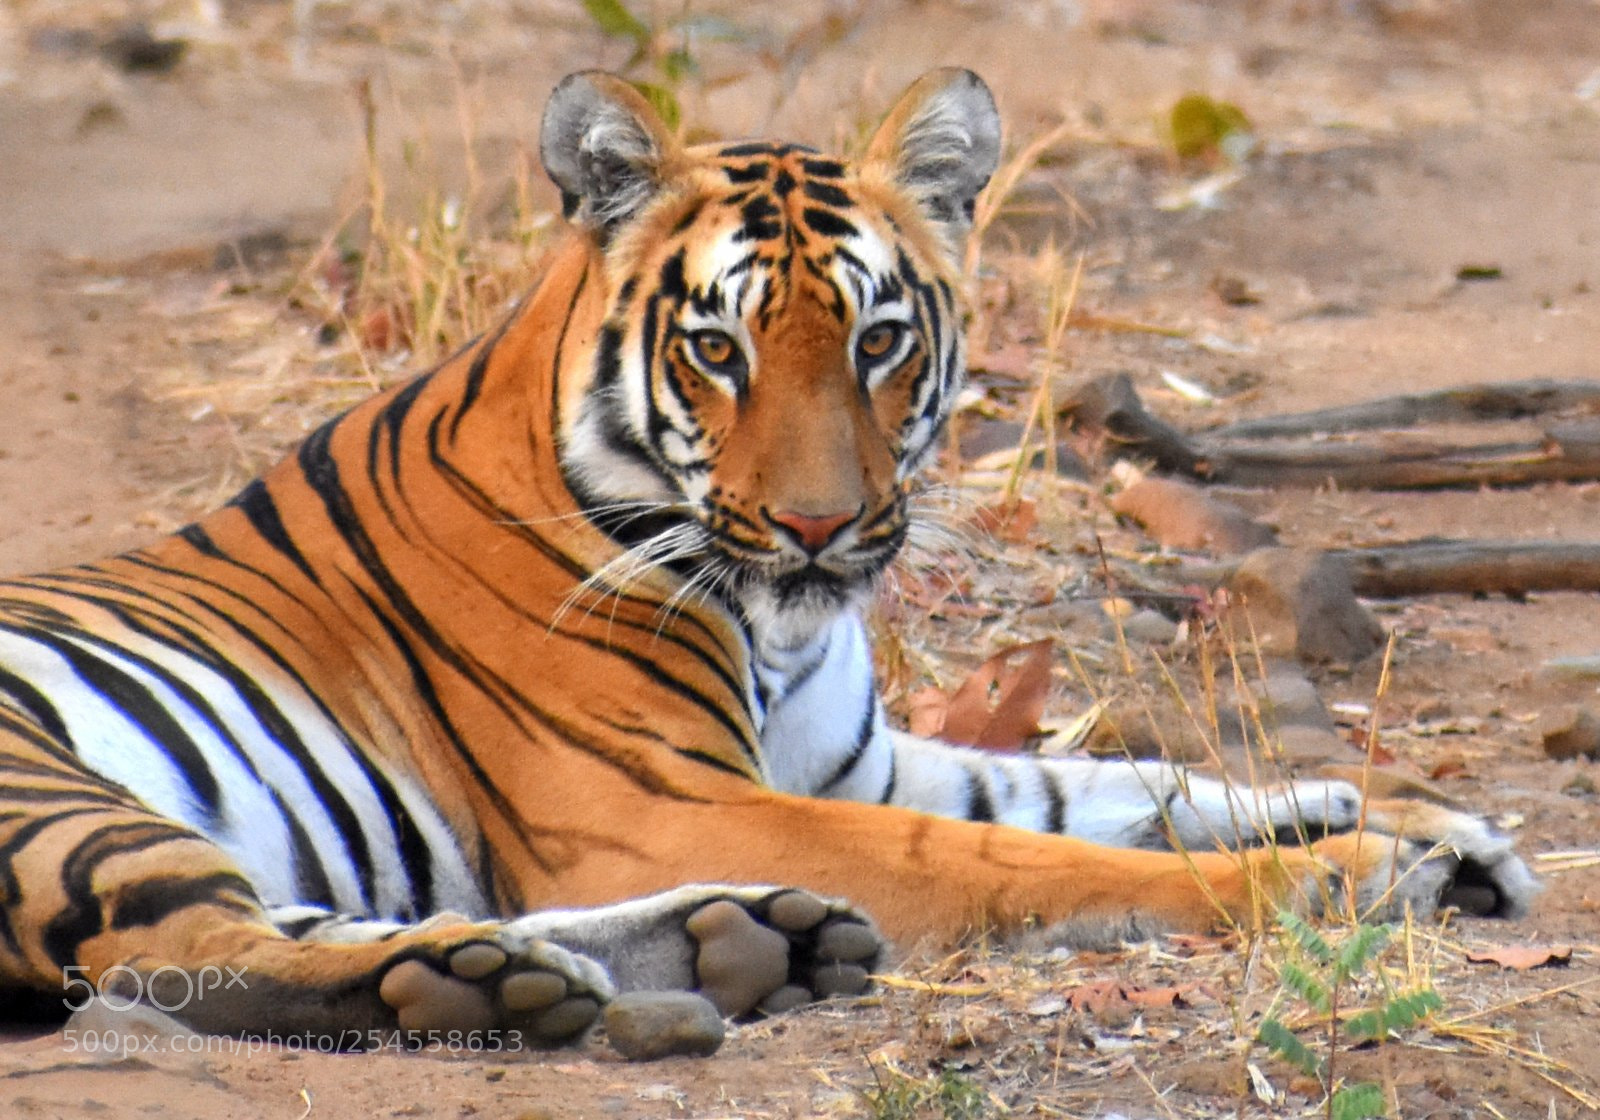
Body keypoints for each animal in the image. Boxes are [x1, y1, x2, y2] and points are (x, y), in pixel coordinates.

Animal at [0, 68, 1534, 1047]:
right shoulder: (661, 802)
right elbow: (1017, 853)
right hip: (58, 792)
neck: (781, 623)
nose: (815, 526)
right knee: (172, 955)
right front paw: (1335, 877)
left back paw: (726, 948)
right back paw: (484, 983)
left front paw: (1425, 827)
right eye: (717, 349)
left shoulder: (851, 763)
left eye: (878, 340)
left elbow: (1112, 784)